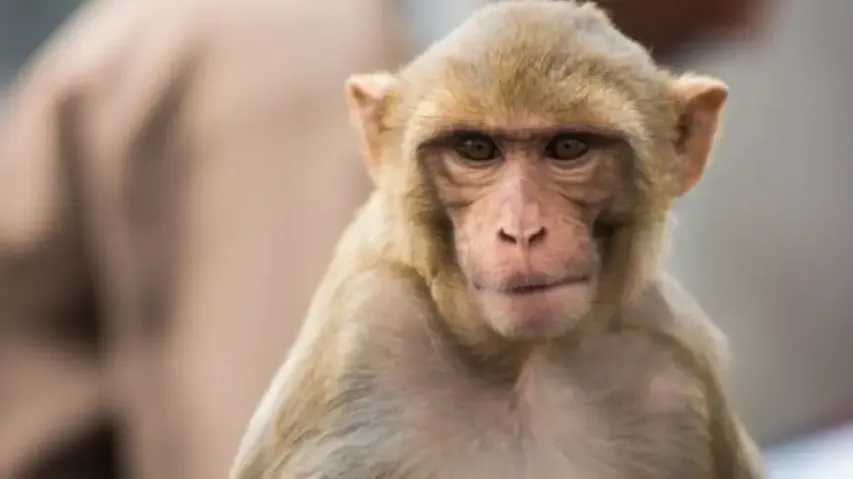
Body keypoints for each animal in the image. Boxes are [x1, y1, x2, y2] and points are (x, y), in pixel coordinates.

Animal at [231, 1, 764, 478]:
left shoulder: (680, 368)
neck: (524, 364)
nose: (521, 231)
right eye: (476, 148)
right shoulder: (359, 346)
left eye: (568, 147)